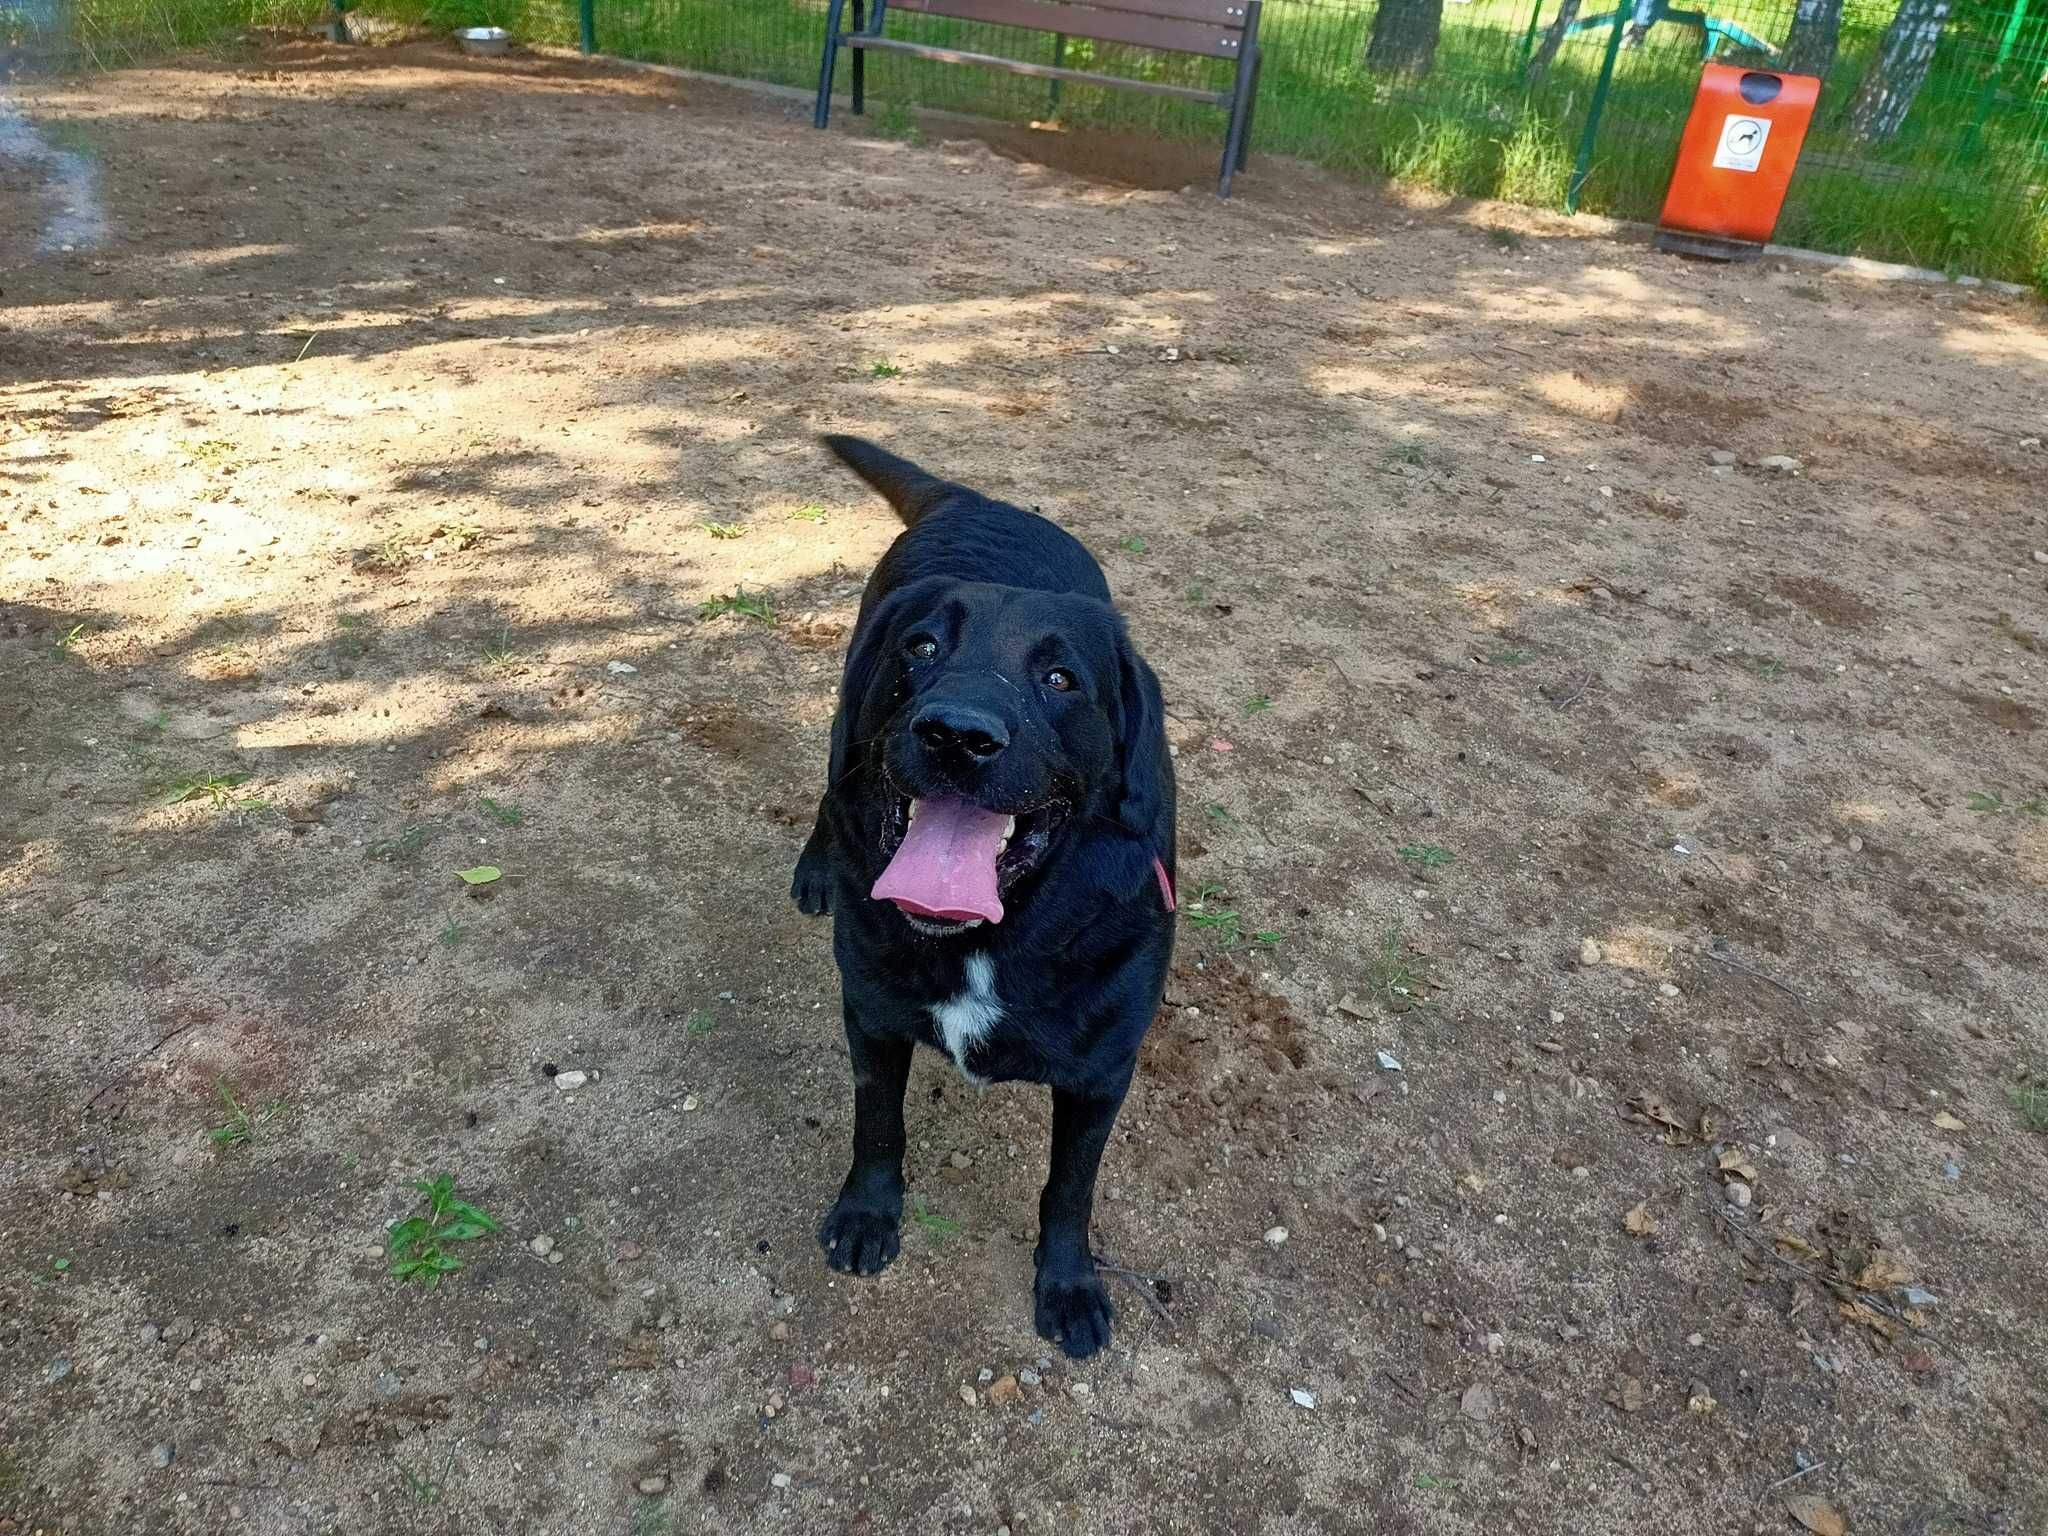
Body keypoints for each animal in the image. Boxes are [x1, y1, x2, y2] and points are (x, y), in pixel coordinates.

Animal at [790, 434, 1179, 1359]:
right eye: (923, 649)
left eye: (1062, 679)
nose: (958, 733)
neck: (985, 939)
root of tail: (974, 500)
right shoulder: (872, 1018)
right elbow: (877, 1128)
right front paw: (867, 1214)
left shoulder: (1102, 1076)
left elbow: (1070, 1189)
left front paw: (1068, 1283)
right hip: (844, 729)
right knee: (830, 786)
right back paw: (818, 866)